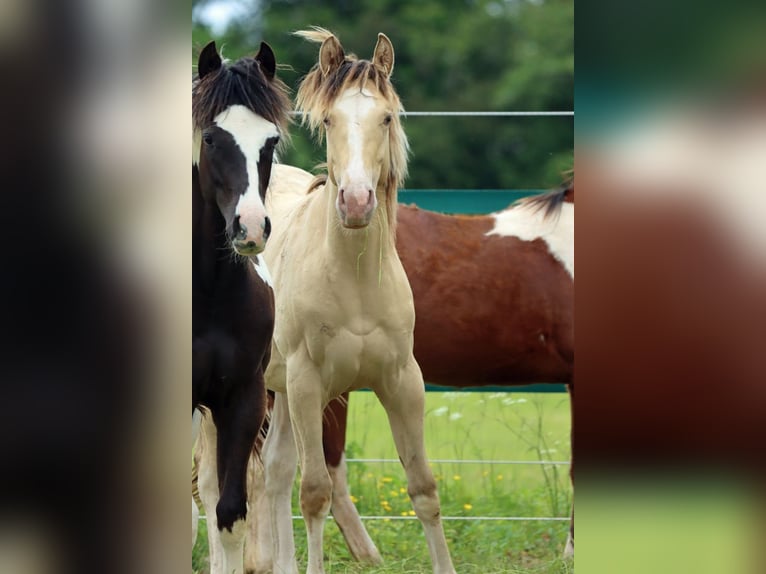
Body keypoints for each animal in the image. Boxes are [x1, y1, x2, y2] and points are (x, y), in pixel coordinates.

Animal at [262, 30, 456, 574]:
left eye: (386, 118)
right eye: (329, 120)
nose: (355, 202)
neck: (354, 283)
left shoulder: (402, 382)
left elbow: (424, 489)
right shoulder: (308, 385)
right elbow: (315, 493)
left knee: (272, 475)